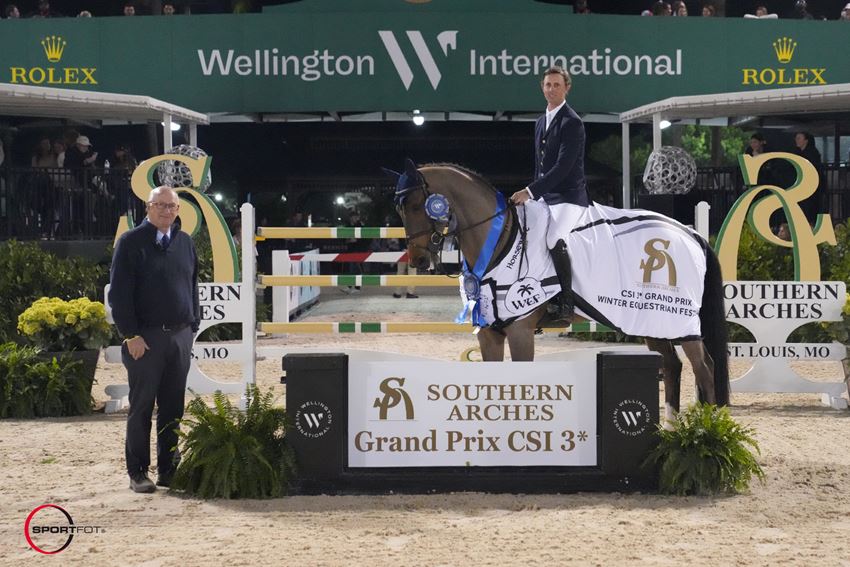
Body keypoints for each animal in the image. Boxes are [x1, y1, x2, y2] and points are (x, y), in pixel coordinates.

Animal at [390, 160, 728, 418]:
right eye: (400, 210)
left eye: (418, 205)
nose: (418, 259)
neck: (499, 241)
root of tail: (691, 233)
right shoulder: (490, 333)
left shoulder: (520, 331)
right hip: (652, 321)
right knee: (672, 365)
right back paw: (671, 429)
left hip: (680, 322)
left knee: (705, 368)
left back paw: (709, 431)